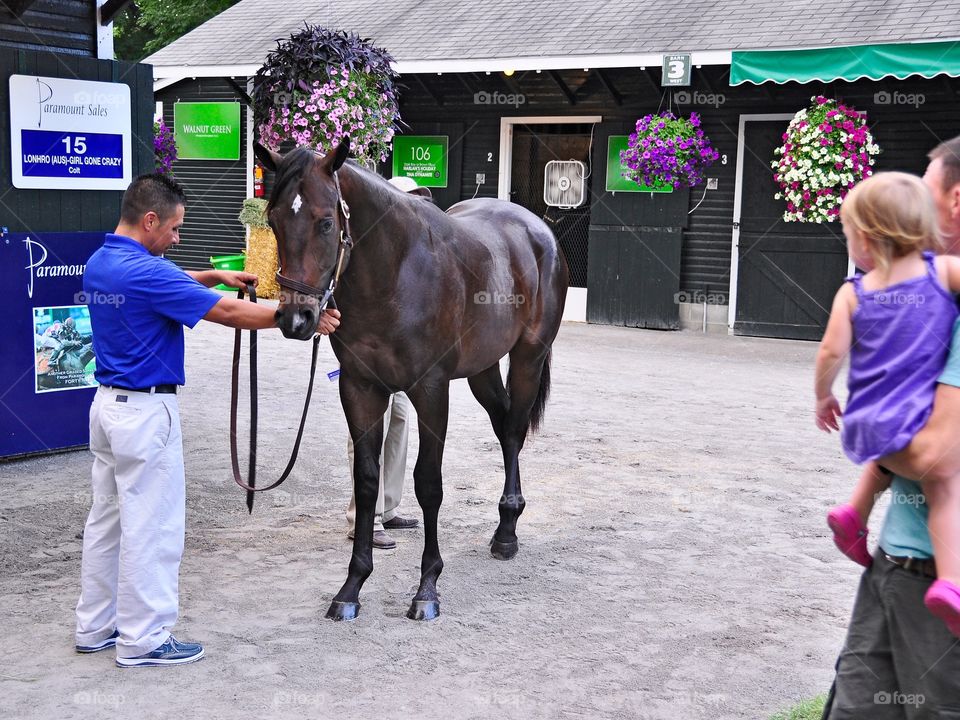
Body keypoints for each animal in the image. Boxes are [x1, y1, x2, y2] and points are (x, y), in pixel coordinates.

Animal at [254, 138, 569, 621]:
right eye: (273, 220)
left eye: (326, 221)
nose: (296, 319)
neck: (396, 272)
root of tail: (538, 228)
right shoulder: (360, 388)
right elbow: (367, 480)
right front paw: (351, 588)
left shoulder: (431, 390)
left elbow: (428, 483)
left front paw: (427, 589)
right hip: (482, 369)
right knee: (503, 428)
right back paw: (505, 524)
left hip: (527, 359)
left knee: (514, 429)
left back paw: (507, 534)